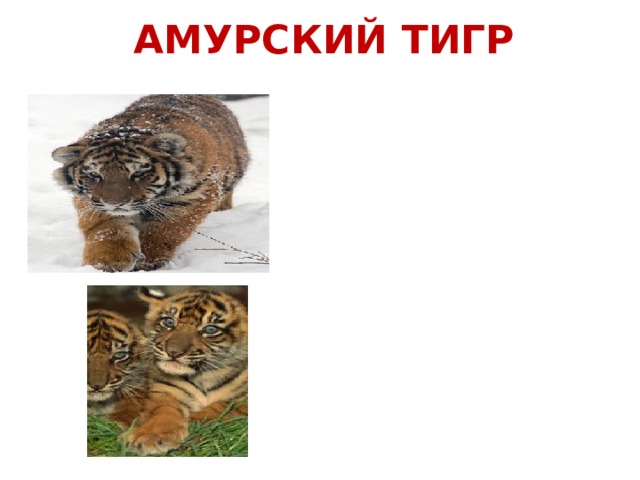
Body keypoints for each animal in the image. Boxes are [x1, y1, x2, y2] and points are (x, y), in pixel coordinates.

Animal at [52, 95, 251, 272]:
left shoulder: (197, 194)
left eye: (139, 173)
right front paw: (107, 262)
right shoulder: (91, 201)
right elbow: (108, 228)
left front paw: (146, 261)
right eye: (94, 174)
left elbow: (164, 230)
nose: (115, 204)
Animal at [123, 287, 248, 456]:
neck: (204, 377)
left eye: (210, 329)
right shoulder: (165, 392)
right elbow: (163, 412)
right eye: (169, 322)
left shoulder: (244, 400)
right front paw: (150, 436)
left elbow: (221, 406)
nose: (173, 352)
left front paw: (195, 423)